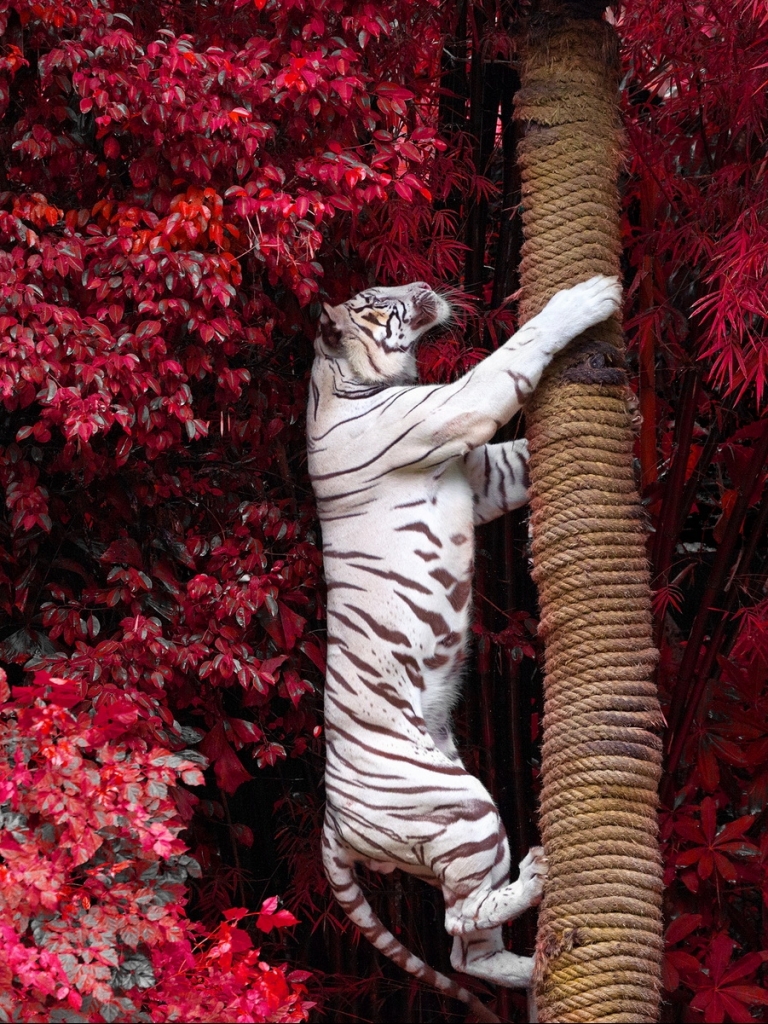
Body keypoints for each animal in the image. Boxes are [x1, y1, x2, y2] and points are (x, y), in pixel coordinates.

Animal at [309, 276, 626, 1019]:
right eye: (381, 299)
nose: (425, 284)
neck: (341, 380)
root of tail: (331, 823)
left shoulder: (482, 474)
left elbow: (520, 453)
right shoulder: (456, 408)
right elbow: (516, 352)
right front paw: (590, 297)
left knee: (466, 950)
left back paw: (528, 967)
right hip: (462, 809)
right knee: (456, 929)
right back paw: (535, 881)